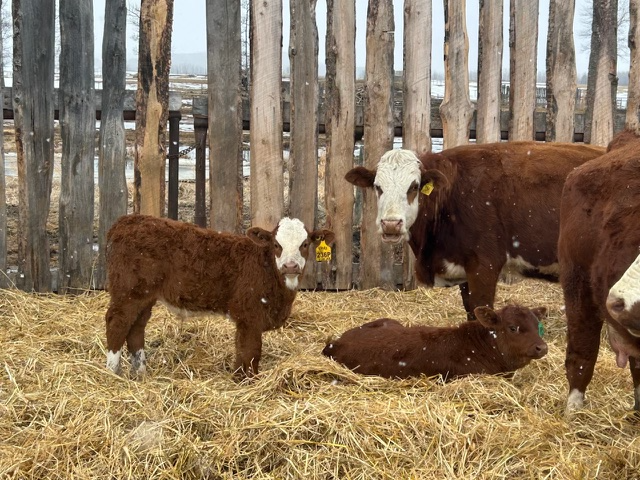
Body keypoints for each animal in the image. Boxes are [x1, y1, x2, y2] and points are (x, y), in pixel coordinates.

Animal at [104, 214, 334, 379]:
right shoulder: (250, 316)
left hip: (144, 297)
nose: (290, 266)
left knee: (136, 329)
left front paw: (239, 378)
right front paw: (248, 382)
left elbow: (242, 350)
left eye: (305, 244)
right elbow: (251, 351)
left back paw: (140, 373)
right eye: (277, 245)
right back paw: (113, 373)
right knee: (117, 324)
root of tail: (126, 221)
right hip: (127, 294)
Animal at [345, 142, 605, 319]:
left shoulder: (485, 266)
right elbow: (470, 312)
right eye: (377, 187)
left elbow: (482, 312)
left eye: (414, 186)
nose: (390, 224)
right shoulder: (465, 268)